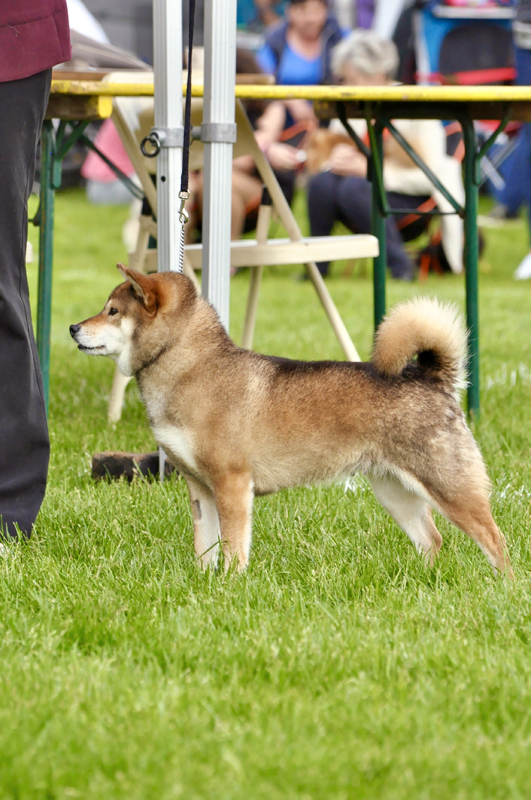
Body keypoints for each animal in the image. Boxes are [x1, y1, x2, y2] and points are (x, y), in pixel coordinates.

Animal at [69, 268, 512, 576]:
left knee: (496, 541)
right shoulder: (200, 489)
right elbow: (204, 548)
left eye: (112, 311)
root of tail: (433, 378)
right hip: (394, 491)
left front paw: (229, 585)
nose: (73, 327)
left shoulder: (232, 484)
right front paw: (202, 583)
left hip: (451, 488)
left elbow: (232, 548)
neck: (191, 369)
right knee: (432, 540)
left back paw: (502, 590)